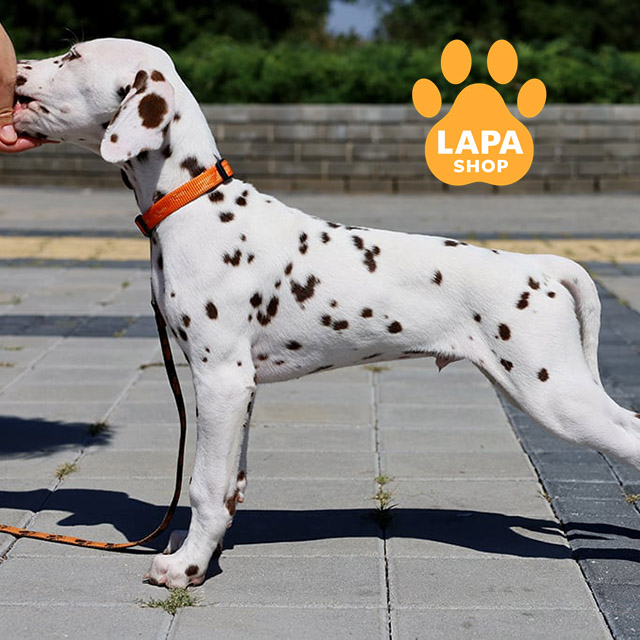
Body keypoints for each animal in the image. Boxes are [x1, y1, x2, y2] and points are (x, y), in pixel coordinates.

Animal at [12, 38, 640, 588]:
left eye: (73, 54)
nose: (15, 66)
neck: (191, 204)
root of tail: (539, 264)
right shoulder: (241, 388)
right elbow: (230, 484)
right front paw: (203, 552)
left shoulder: (218, 379)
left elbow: (204, 485)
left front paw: (185, 568)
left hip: (553, 393)